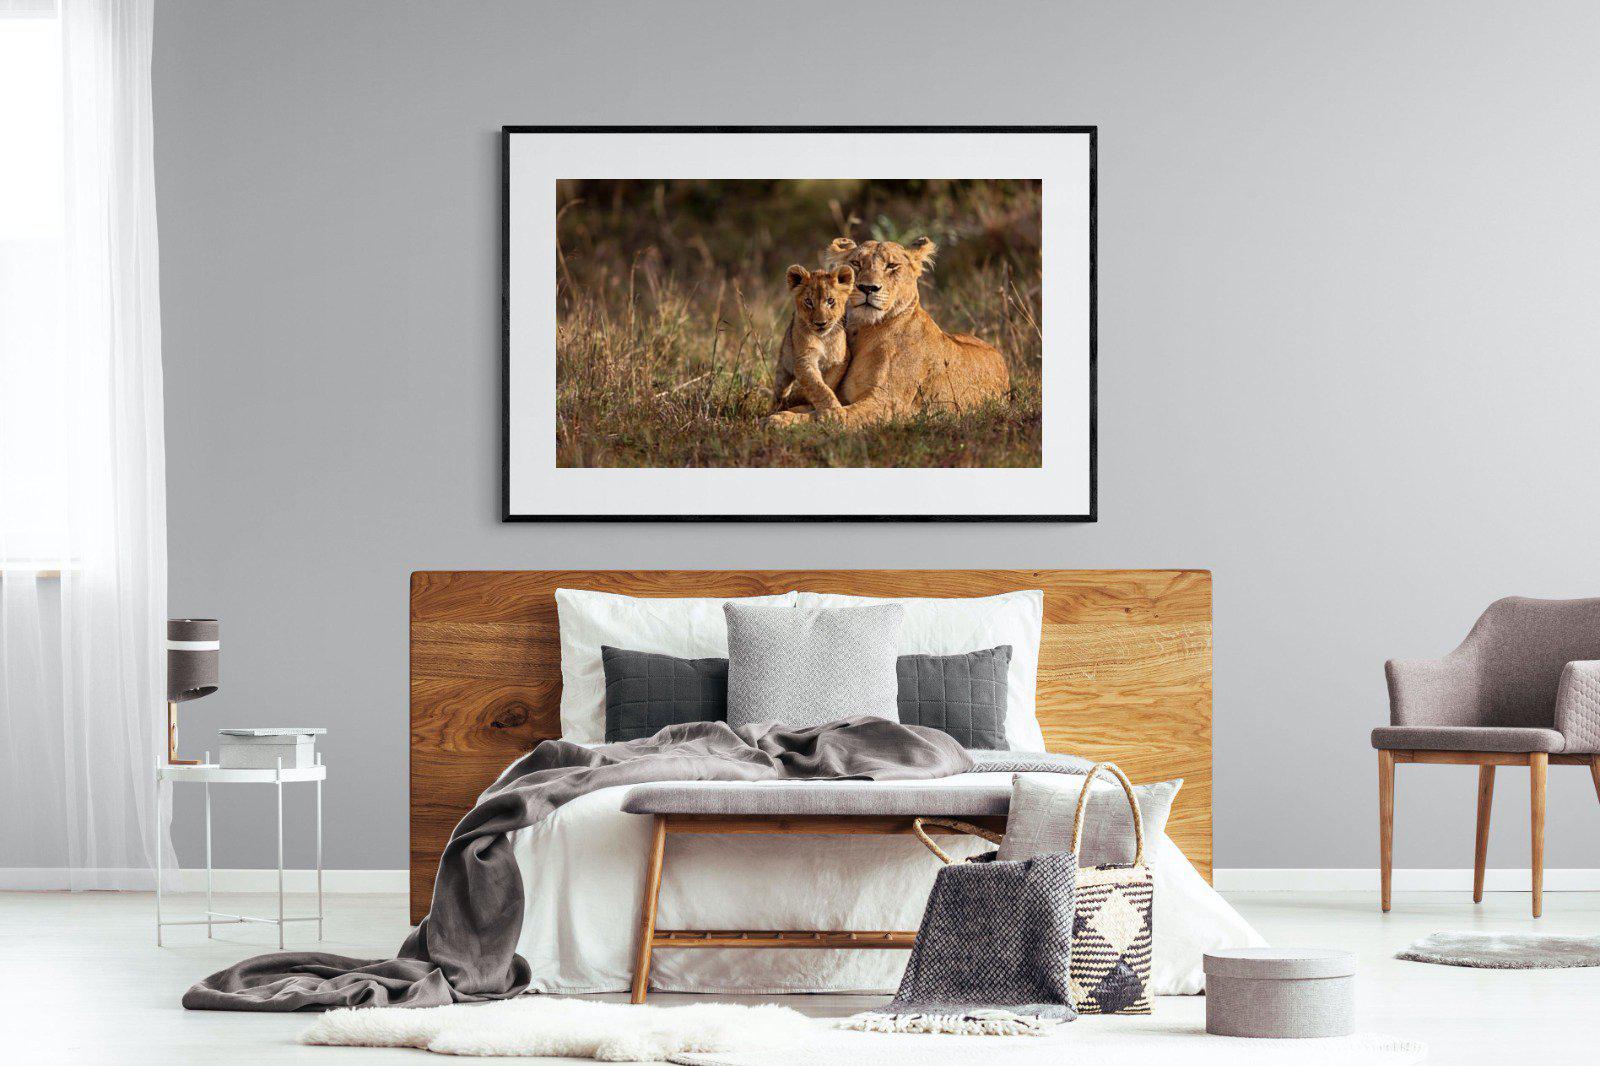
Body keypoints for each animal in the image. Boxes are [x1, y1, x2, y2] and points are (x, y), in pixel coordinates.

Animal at [770, 263, 854, 417]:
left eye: (830, 301)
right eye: (808, 301)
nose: (821, 323)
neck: (824, 339)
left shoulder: (841, 360)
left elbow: (828, 383)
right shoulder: (804, 360)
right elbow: (818, 386)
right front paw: (832, 412)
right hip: (783, 368)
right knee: (780, 392)